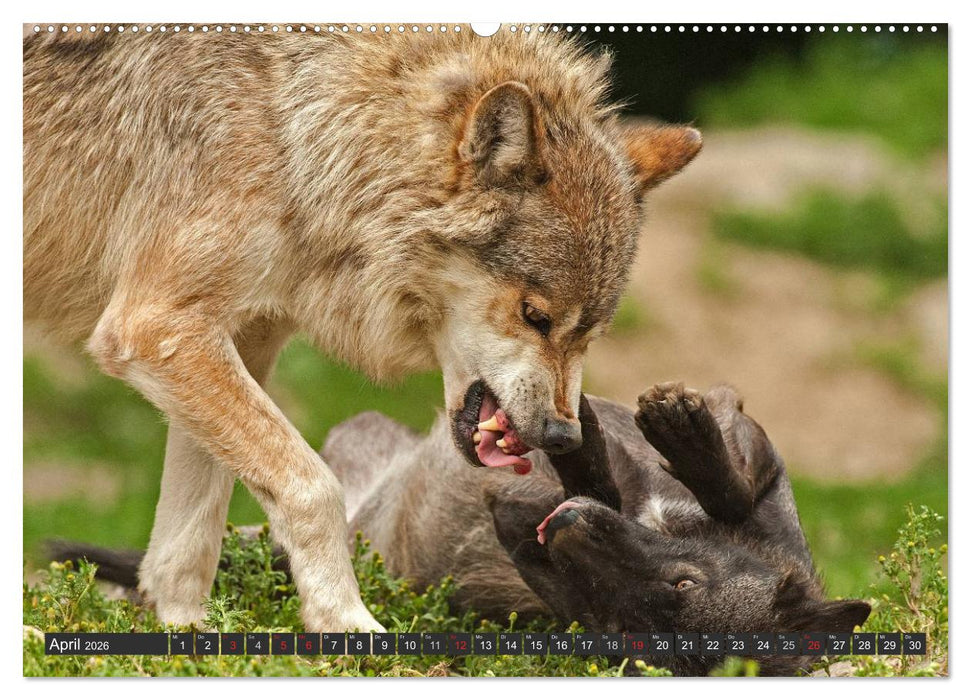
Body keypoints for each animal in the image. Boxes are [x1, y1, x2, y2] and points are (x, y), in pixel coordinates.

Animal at [24, 27, 701, 631]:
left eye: (590, 335)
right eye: (535, 317)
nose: (563, 436)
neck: (298, 136)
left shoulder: (234, 338)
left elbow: (191, 535)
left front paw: (187, 635)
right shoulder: (156, 327)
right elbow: (313, 489)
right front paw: (346, 623)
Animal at [55, 382, 870, 675]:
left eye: (625, 626)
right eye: (682, 580)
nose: (562, 529)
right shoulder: (750, 458)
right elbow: (724, 472)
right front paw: (676, 433)